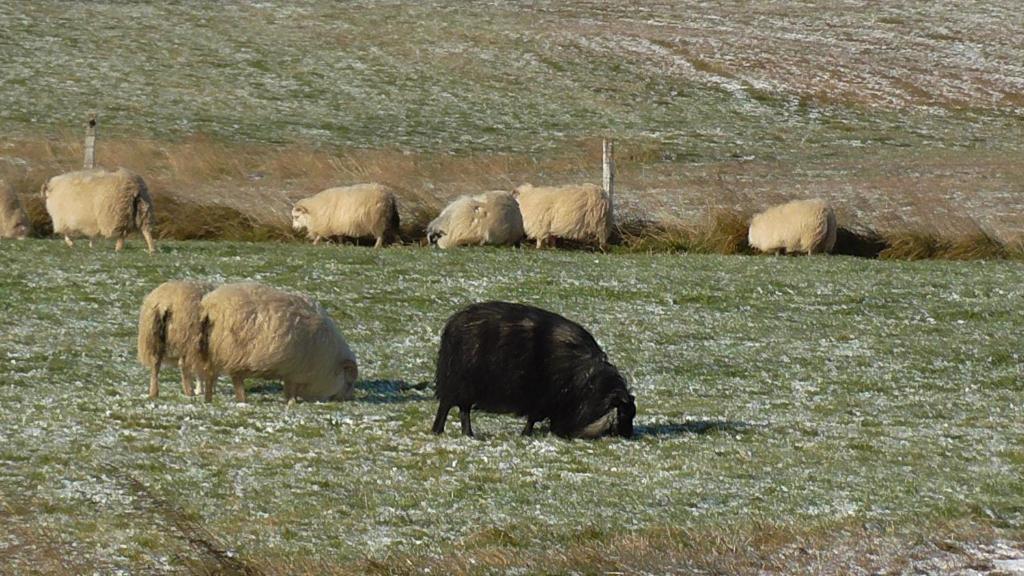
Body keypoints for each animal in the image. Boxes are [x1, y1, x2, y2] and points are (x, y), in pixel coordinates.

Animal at [197, 280, 358, 399]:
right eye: (348, 382)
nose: (347, 398)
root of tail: (210, 304)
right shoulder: (295, 370)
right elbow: (290, 389)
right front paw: (291, 401)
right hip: (235, 353)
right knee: (236, 379)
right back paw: (241, 399)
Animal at [428, 297, 634, 436]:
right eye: (624, 413)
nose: (628, 435)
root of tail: (451, 326)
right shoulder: (542, 398)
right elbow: (532, 419)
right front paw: (526, 434)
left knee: (460, 408)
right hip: (460, 382)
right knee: (450, 407)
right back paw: (444, 430)